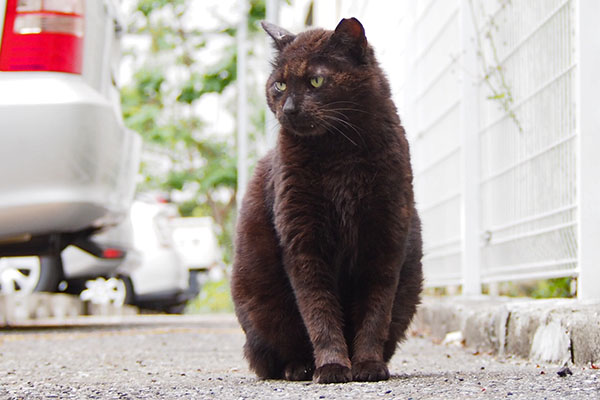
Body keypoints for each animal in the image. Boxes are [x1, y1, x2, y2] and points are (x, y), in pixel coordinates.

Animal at [230, 16, 422, 384]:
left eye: (316, 80)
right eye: (279, 85)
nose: (289, 108)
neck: (340, 156)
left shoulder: (385, 240)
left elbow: (375, 313)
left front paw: (367, 365)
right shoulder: (304, 243)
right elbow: (319, 312)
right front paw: (332, 366)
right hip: (261, 303)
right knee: (275, 354)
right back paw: (299, 367)